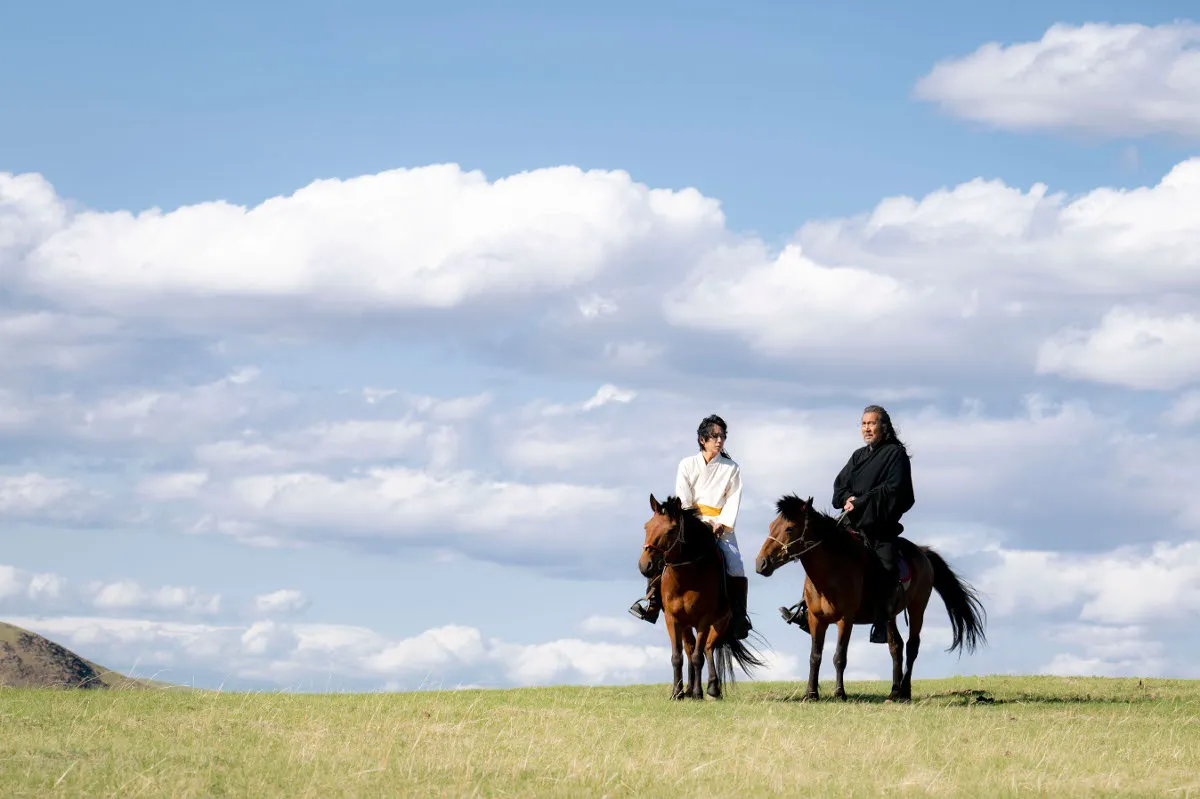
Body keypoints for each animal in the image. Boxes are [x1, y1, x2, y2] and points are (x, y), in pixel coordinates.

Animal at [643, 491, 763, 695]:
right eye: (647, 527)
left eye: (670, 531)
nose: (645, 566)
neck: (686, 577)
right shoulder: (672, 618)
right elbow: (677, 656)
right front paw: (677, 693)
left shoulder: (704, 619)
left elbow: (699, 656)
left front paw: (699, 692)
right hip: (686, 624)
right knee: (690, 648)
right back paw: (690, 689)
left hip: (719, 623)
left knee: (707, 648)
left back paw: (711, 688)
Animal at [758, 491, 984, 695]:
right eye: (770, 526)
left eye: (789, 528)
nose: (761, 564)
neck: (831, 571)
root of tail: (923, 552)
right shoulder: (816, 619)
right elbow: (815, 656)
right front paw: (811, 694)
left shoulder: (845, 619)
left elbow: (839, 657)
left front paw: (840, 693)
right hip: (890, 615)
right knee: (896, 646)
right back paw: (894, 693)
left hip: (917, 607)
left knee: (912, 646)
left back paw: (905, 691)